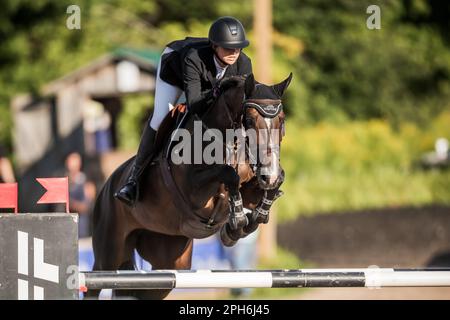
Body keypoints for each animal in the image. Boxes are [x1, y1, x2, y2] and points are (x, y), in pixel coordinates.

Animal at [89, 73, 292, 300]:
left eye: (282, 120)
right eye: (248, 120)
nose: (269, 174)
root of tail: (106, 188)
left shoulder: (251, 188)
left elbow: (271, 186)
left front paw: (248, 221)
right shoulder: (194, 192)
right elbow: (229, 175)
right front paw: (237, 219)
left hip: (169, 259)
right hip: (108, 254)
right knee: (94, 283)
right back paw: (127, 191)